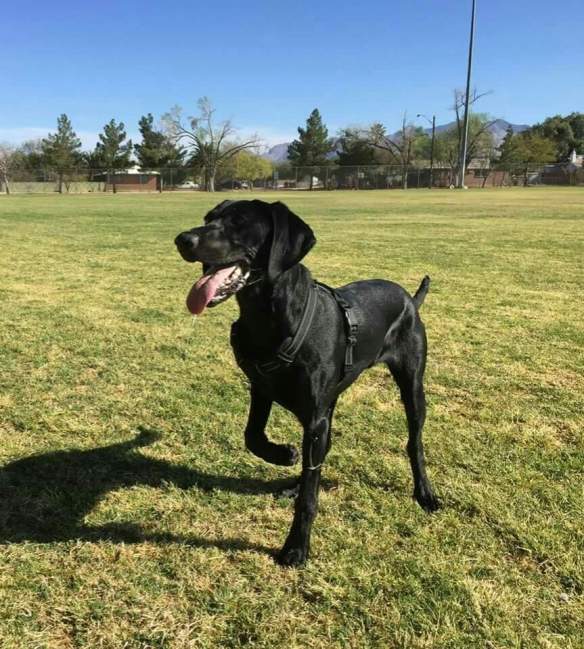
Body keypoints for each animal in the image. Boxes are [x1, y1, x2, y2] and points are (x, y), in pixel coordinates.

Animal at [175, 200, 438, 564]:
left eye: (239, 222)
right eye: (208, 218)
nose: (183, 240)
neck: (271, 316)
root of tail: (410, 299)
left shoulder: (314, 418)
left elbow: (309, 498)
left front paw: (296, 547)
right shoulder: (263, 389)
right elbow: (252, 436)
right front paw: (284, 455)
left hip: (412, 385)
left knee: (414, 442)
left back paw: (424, 492)